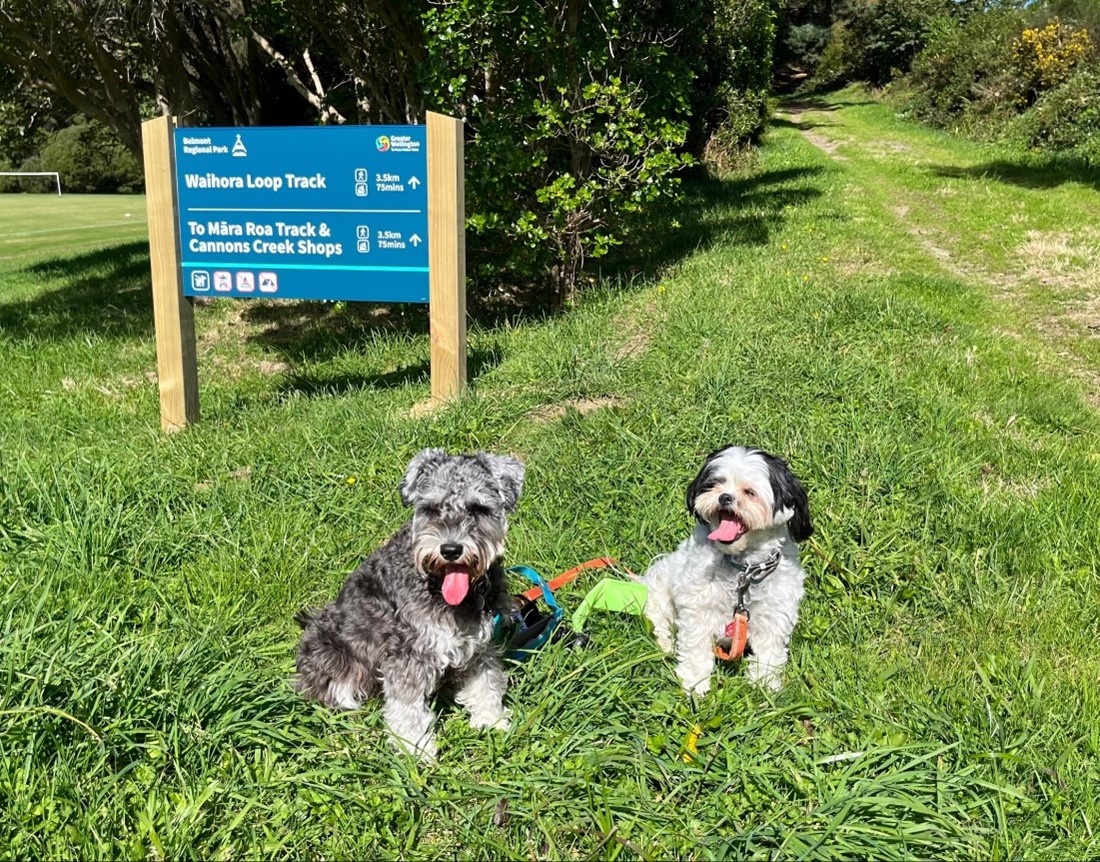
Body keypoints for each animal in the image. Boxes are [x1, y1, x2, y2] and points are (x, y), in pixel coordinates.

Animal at [294, 448, 521, 756]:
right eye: (431, 508)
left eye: (478, 509)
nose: (450, 549)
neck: (440, 586)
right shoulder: (408, 652)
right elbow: (407, 706)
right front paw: (415, 749)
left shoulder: (478, 644)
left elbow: (485, 681)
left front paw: (491, 721)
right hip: (333, 651)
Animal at [642, 444, 809, 694]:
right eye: (715, 483)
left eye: (749, 492)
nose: (725, 497)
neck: (744, 569)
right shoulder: (697, 607)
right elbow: (695, 647)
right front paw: (695, 683)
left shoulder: (775, 613)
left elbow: (769, 653)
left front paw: (764, 684)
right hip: (659, 591)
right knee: (659, 621)